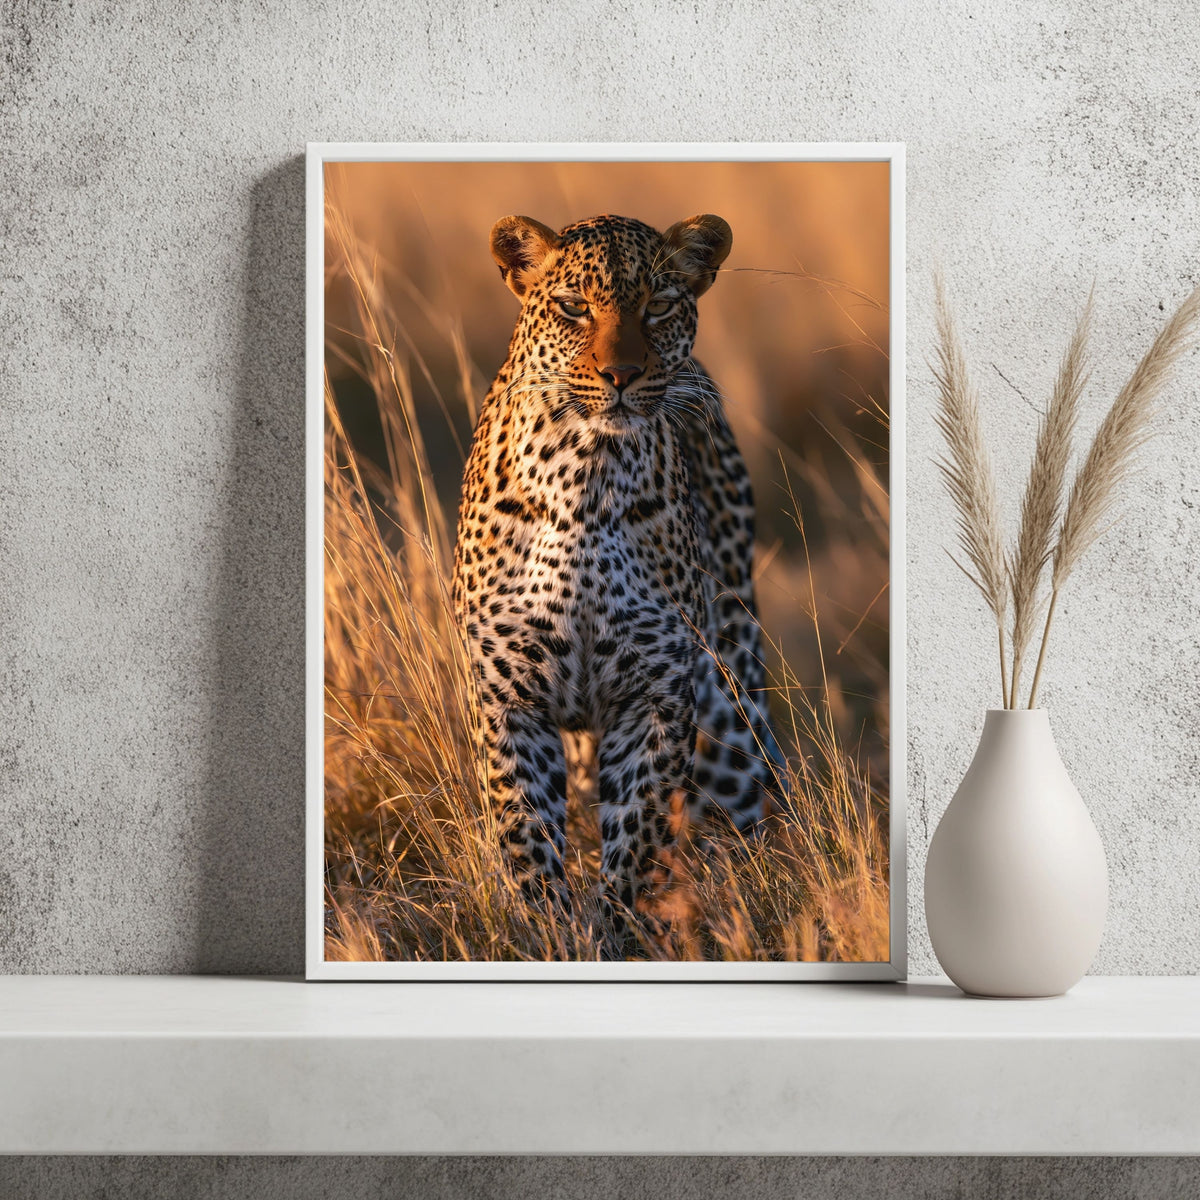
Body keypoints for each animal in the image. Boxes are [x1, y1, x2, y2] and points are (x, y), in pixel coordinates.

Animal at [452, 210, 784, 933]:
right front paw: (546, 934)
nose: (622, 375)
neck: (585, 473)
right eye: (574, 307)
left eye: (657, 305)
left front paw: (614, 934)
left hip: (732, 711)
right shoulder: (510, 700)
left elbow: (636, 839)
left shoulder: (656, 697)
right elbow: (526, 837)